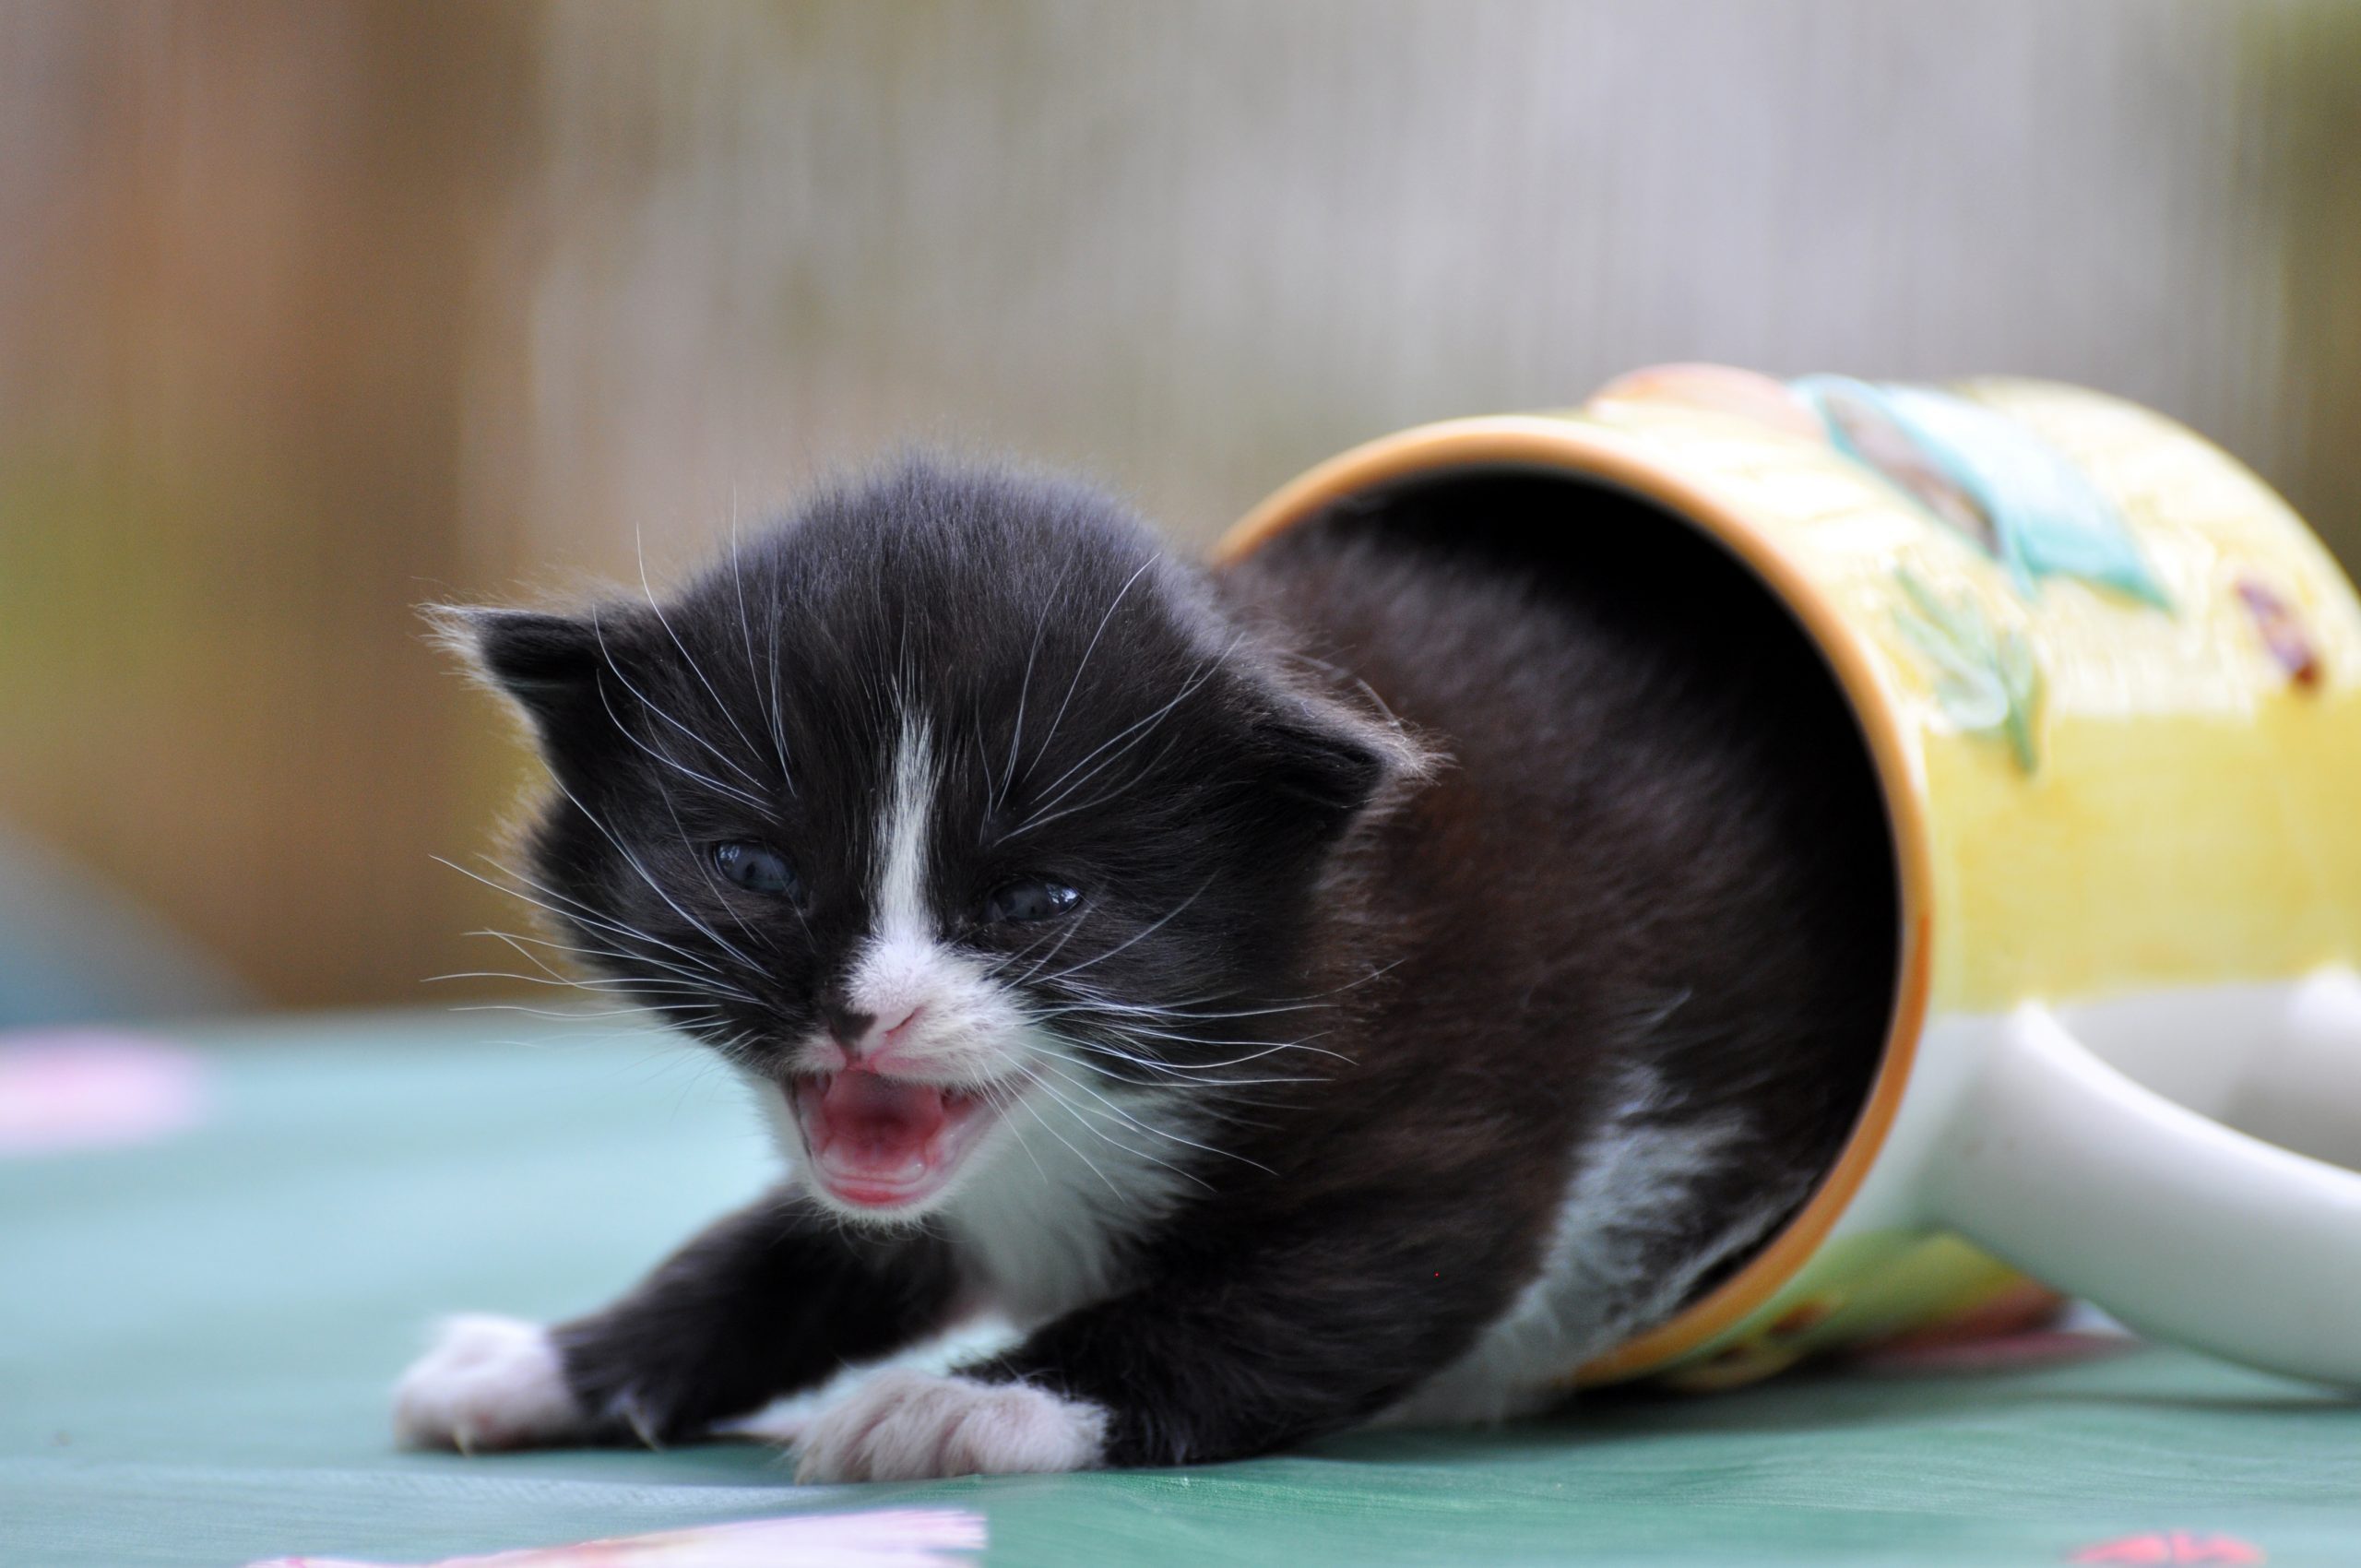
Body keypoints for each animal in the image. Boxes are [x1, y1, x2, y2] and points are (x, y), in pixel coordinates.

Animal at [397, 456, 1889, 1482]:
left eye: (1037, 899)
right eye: (752, 867)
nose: (867, 1011)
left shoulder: (1469, 1089)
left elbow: (1319, 1292)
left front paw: (975, 1400)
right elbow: (785, 1252)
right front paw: (550, 1363)